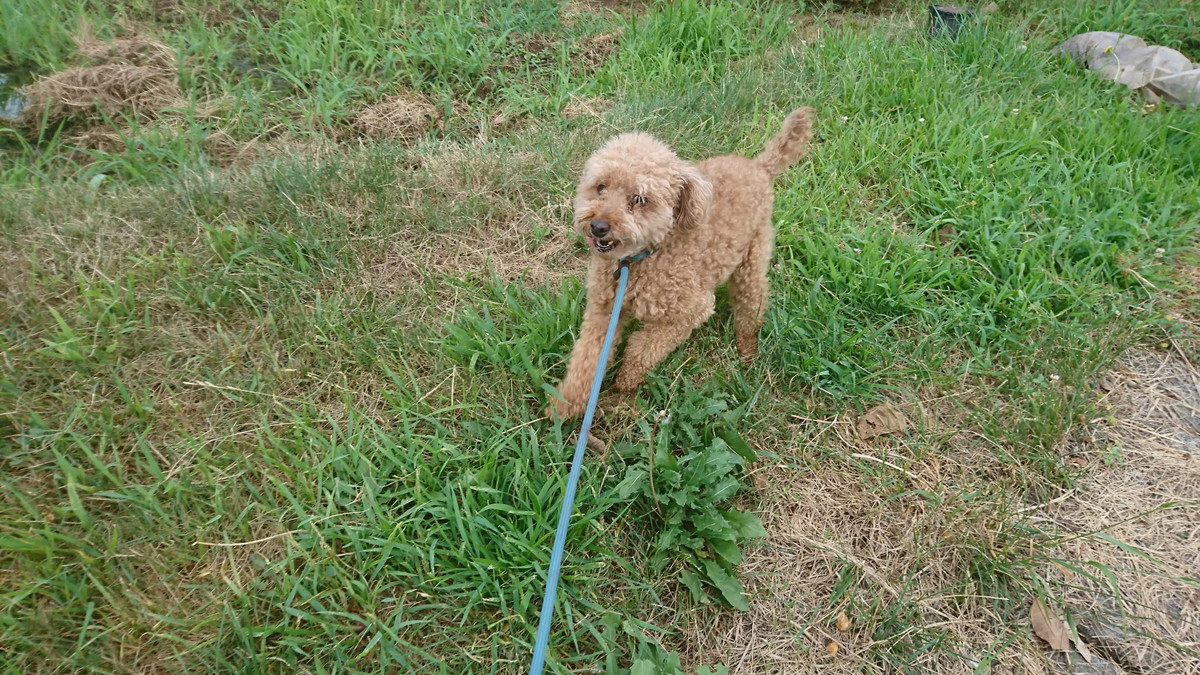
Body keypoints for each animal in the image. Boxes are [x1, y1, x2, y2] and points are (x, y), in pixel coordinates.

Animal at [547, 108, 815, 419]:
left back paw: (748, 350)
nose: (598, 226)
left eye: (639, 199)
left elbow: (641, 348)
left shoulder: (692, 310)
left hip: (753, 257)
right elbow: (587, 358)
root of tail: (759, 167)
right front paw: (564, 405)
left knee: (753, 303)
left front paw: (626, 382)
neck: (641, 259)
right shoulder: (604, 311)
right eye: (601, 187)